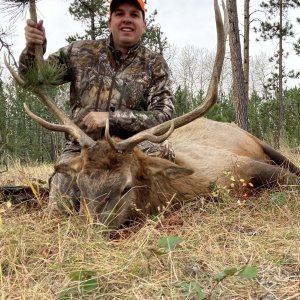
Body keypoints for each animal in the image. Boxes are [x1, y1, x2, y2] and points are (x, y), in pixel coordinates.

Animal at [4, 0, 300, 229]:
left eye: (126, 187)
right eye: (82, 186)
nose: (93, 229)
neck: (184, 189)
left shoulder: (237, 163)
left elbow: (293, 180)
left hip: (260, 142)